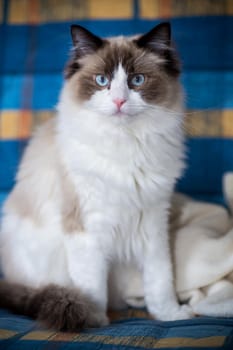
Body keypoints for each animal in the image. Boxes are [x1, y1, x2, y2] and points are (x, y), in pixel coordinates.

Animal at [0, 22, 193, 330]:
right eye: (102, 80)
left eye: (137, 80)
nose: (119, 101)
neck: (126, 145)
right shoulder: (87, 229)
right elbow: (92, 287)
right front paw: (93, 320)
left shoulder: (153, 222)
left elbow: (161, 281)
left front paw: (170, 316)